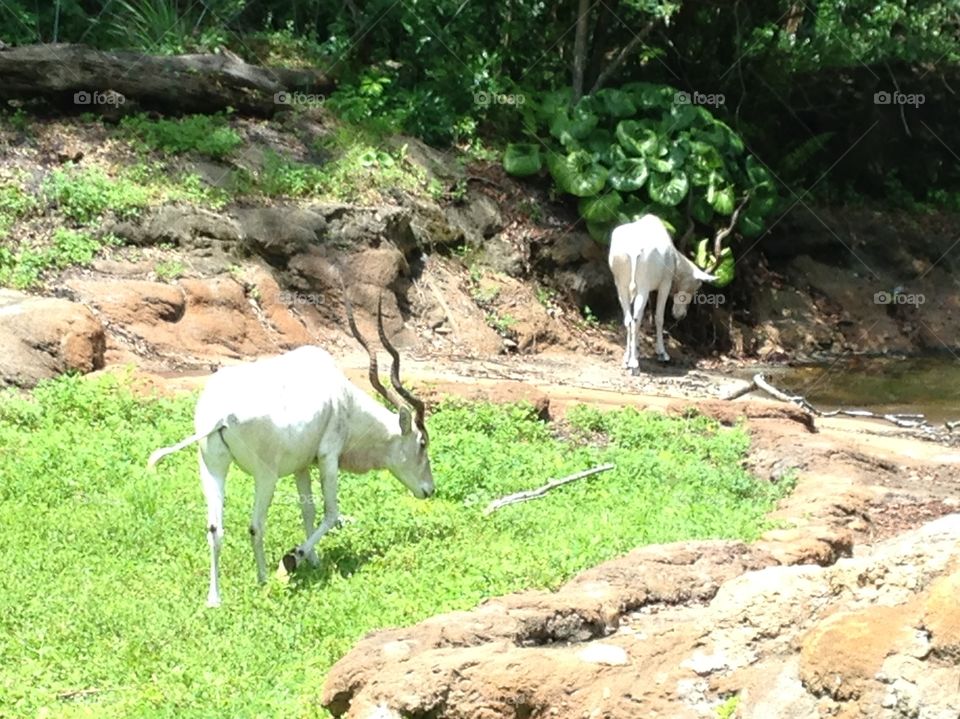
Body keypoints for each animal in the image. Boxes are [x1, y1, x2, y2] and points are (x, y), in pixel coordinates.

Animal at [148, 294, 434, 608]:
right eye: (423, 443)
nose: (429, 490)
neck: (341, 398)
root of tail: (221, 414)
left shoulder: (302, 466)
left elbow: (307, 510)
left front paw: (314, 561)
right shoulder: (328, 457)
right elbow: (331, 513)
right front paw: (293, 558)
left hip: (212, 467)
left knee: (214, 528)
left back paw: (214, 599)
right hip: (266, 477)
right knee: (255, 525)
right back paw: (263, 580)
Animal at [608, 214, 712, 372]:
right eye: (695, 287)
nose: (680, 315)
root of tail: (633, 250)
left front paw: (634, 352)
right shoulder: (665, 284)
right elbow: (659, 317)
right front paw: (662, 354)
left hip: (622, 286)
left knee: (628, 319)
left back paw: (627, 360)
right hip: (642, 288)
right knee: (635, 319)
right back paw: (634, 364)